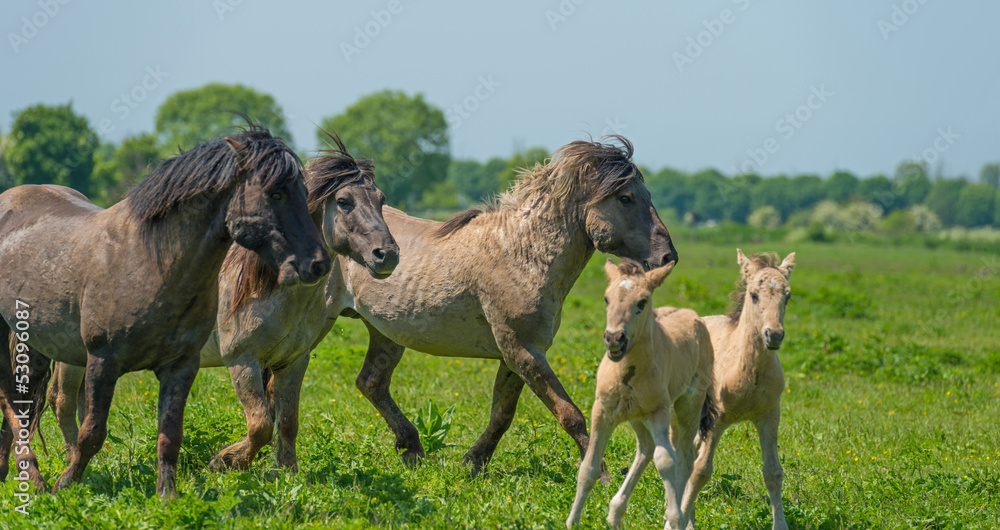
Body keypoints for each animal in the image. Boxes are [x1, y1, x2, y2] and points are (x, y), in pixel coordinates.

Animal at [0, 126, 329, 498]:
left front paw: (168, 496)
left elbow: (170, 436)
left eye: (304, 192)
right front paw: (66, 484)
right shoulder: (102, 361)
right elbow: (92, 433)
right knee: (14, 403)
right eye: (275, 194)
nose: (318, 263)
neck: (149, 264)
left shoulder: (180, 366)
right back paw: (35, 478)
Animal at [332, 136, 677, 470]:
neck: (523, 255)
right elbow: (569, 414)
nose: (668, 256)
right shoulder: (522, 351)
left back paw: (412, 449)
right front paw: (598, 473)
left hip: (385, 333)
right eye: (626, 198)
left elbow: (502, 415)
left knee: (371, 383)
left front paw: (474, 463)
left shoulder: (515, 356)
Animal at [567, 259, 715, 530]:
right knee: (646, 448)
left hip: (688, 404)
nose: (614, 338)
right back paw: (615, 512)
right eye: (606, 299)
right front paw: (572, 521)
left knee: (684, 456)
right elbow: (589, 467)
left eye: (642, 302)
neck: (627, 370)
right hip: (637, 415)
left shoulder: (659, 411)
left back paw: (678, 516)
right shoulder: (602, 412)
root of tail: (694, 316)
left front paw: (674, 517)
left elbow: (666, 461)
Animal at [681, 250, 796, 530]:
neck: (749, 371)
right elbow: (701, 471)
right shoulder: (717, 419)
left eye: (787, 296)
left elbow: (773, 472)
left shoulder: (769, 415)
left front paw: (780, 524)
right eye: (754, 295)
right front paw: (676, 520)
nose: (774, 335)